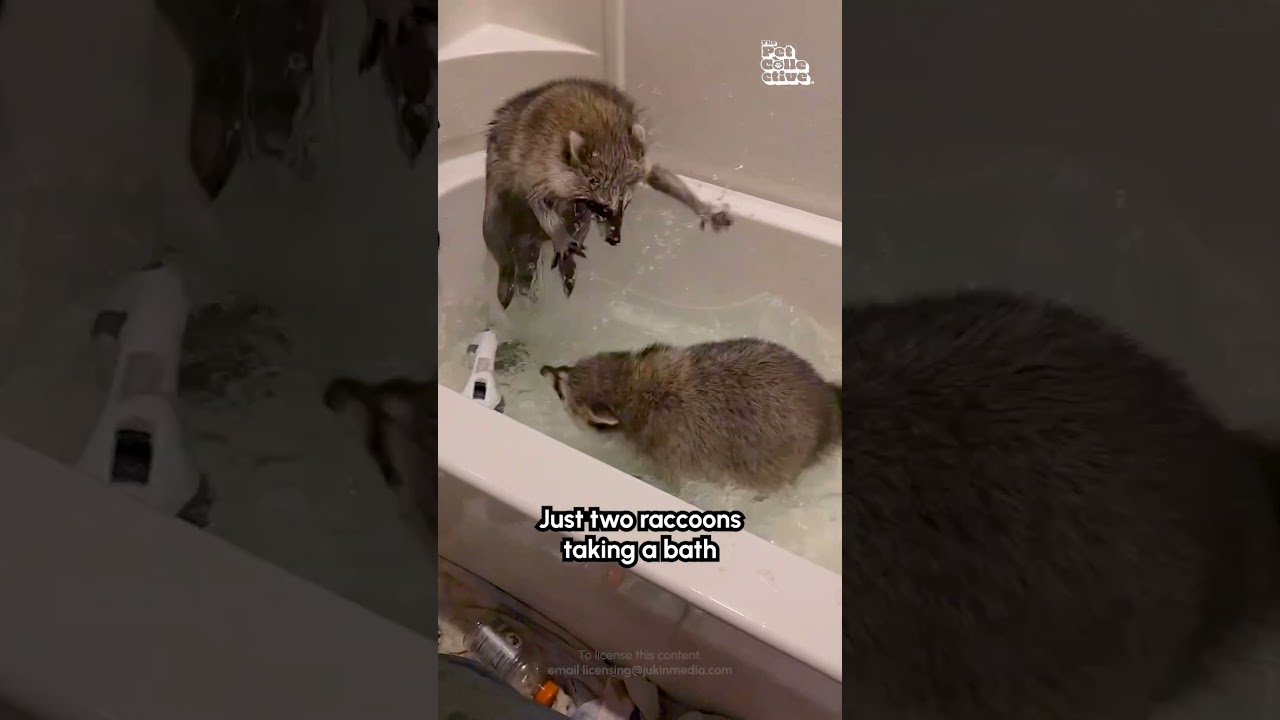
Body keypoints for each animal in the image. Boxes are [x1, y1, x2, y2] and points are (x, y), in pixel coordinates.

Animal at [485, 77, 735, 307]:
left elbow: (659, 176)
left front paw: (699, 205)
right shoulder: (540, 166)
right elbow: (537, 199)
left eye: (625, 204)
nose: (614, 239)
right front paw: (560, 235)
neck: (602, 133)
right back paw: (509, 270)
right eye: (600, 206)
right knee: (493, 229)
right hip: (499, 175)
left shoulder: (637, 161)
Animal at [541, 339, 841, 490]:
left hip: (779, 455)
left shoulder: (666, 444)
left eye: (560, 391)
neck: (631, 388)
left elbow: (669, 478)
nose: (544, 369)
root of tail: (824, 403)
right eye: (567, 369)